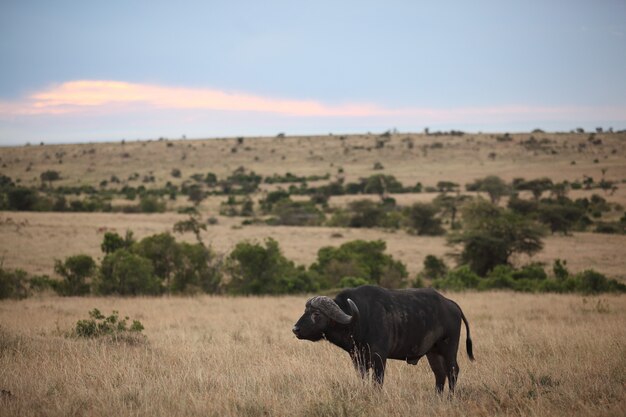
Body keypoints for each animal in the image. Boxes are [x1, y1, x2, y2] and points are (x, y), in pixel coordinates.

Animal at [292, 284, 472, 388]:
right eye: (305, 311)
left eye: (316, 314)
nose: (295, 329)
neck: (360, 319)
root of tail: (451, 304)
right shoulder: (358, 360)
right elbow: (364, 380)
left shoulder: (380, 358)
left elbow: (377, 382)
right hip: (433, 352)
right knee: (440, 374)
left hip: (449, 348)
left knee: (453, 371)